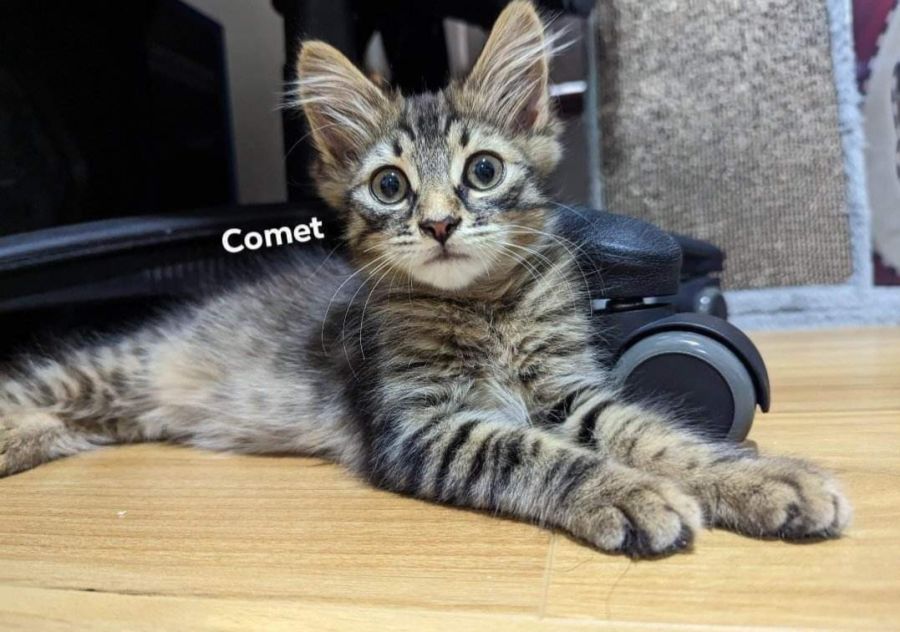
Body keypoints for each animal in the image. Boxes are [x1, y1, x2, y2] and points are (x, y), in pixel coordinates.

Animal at [0, 1, 850, 557]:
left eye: (483, 172)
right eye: (390, 186)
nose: (440, 223)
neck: (485, 306)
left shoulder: (569, 391)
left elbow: (656, 434)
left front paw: (763, 479)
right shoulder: (420, 424)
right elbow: (534, 454)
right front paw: (627, 493)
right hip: (103, 370)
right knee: (27, 386)